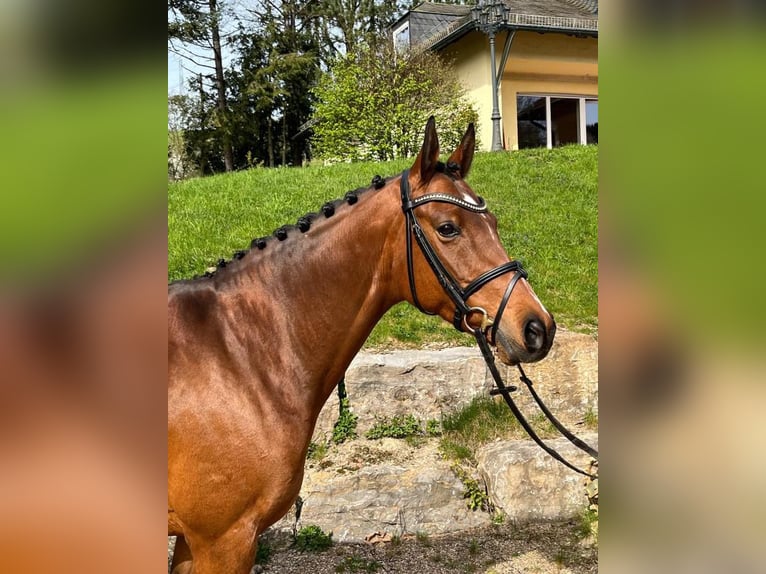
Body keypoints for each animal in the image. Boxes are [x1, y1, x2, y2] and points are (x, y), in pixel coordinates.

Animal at [168, 118, 556, 574]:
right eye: (448, 228)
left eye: (492, 222)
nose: (537, 328)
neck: (240, 355)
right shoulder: (222, 541)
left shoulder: (194, 542)